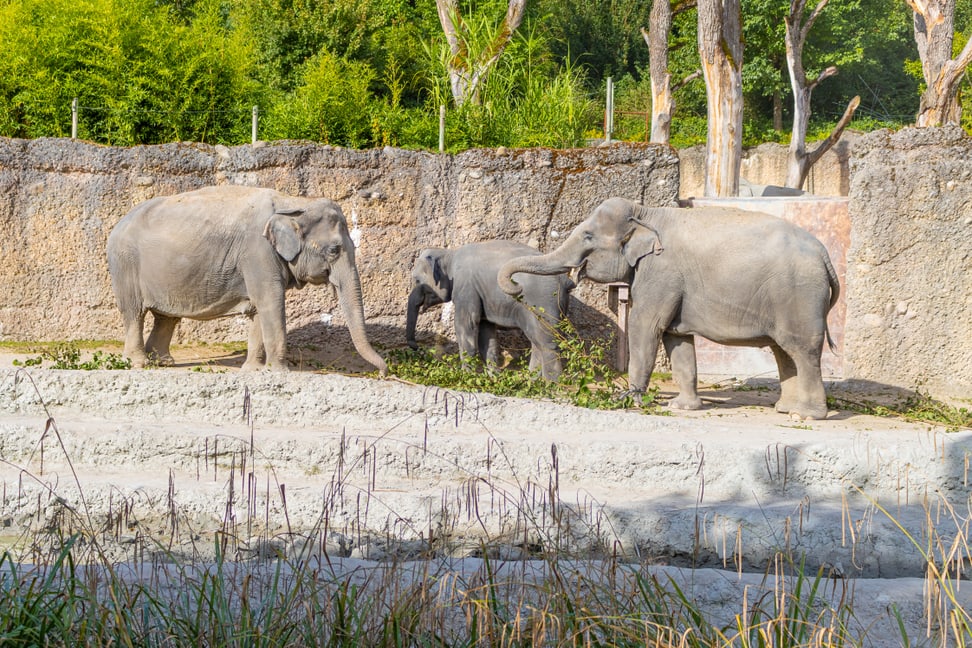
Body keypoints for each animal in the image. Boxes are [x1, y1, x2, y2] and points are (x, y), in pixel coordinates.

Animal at [102, 185, 384, 372]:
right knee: (134, 313)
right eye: (334, 250)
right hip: (125, 264)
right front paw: (279, 372)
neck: (293, 202)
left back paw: (162, 362)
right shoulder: (257, 252)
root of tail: (118, 223)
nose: (383, 371)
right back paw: (138, 364)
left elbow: (260, 307)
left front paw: (254, 370)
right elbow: (270, 301)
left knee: (166, 317)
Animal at [406, 239, 572, 380]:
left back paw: (551, 385)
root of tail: (564, 280)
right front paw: (494, 378)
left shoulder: (465, 286)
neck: (449, 255)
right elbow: (486, 333)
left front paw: (467, 377)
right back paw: (532, 382)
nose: (416, 347)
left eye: (417, 280)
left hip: (542, 301)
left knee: (546, 342)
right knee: (536, 339)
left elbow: (466, 324)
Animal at [498, 197, 840, 420]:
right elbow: (676, 340)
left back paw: (806, 416)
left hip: (800, 295)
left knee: (803, 350)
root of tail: (825, 256)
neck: (647, 213)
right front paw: (682, 407)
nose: (516, 288)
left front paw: (629, 399)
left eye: (588, 235)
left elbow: (645, 326)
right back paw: (785, 409)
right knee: (784, 351)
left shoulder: (660, 271)